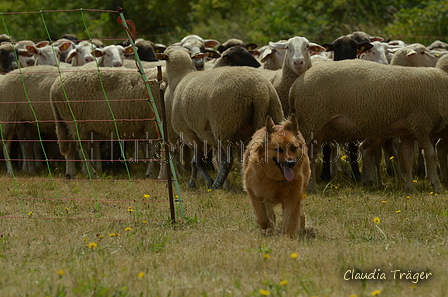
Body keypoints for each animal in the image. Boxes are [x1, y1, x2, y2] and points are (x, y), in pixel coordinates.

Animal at [158, 47, 284, 188]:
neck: (180, 79)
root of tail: (260, 90)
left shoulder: (188, 133)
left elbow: (198, 161)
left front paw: (203, 182)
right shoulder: (205, 136)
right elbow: (195, 161)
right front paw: (193, 183)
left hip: (224, 125)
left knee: (228, 160)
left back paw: (217, 184)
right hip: (273, 114)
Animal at [290, 56, 448, 193]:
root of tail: (295, 85)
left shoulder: (409, 128)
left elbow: (408, 158)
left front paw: (409, 187)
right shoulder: (421, 123)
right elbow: (430, 154)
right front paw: (437, 185)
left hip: (318, 126)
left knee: (311, 155)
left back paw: (311, 188)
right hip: (310, 119)